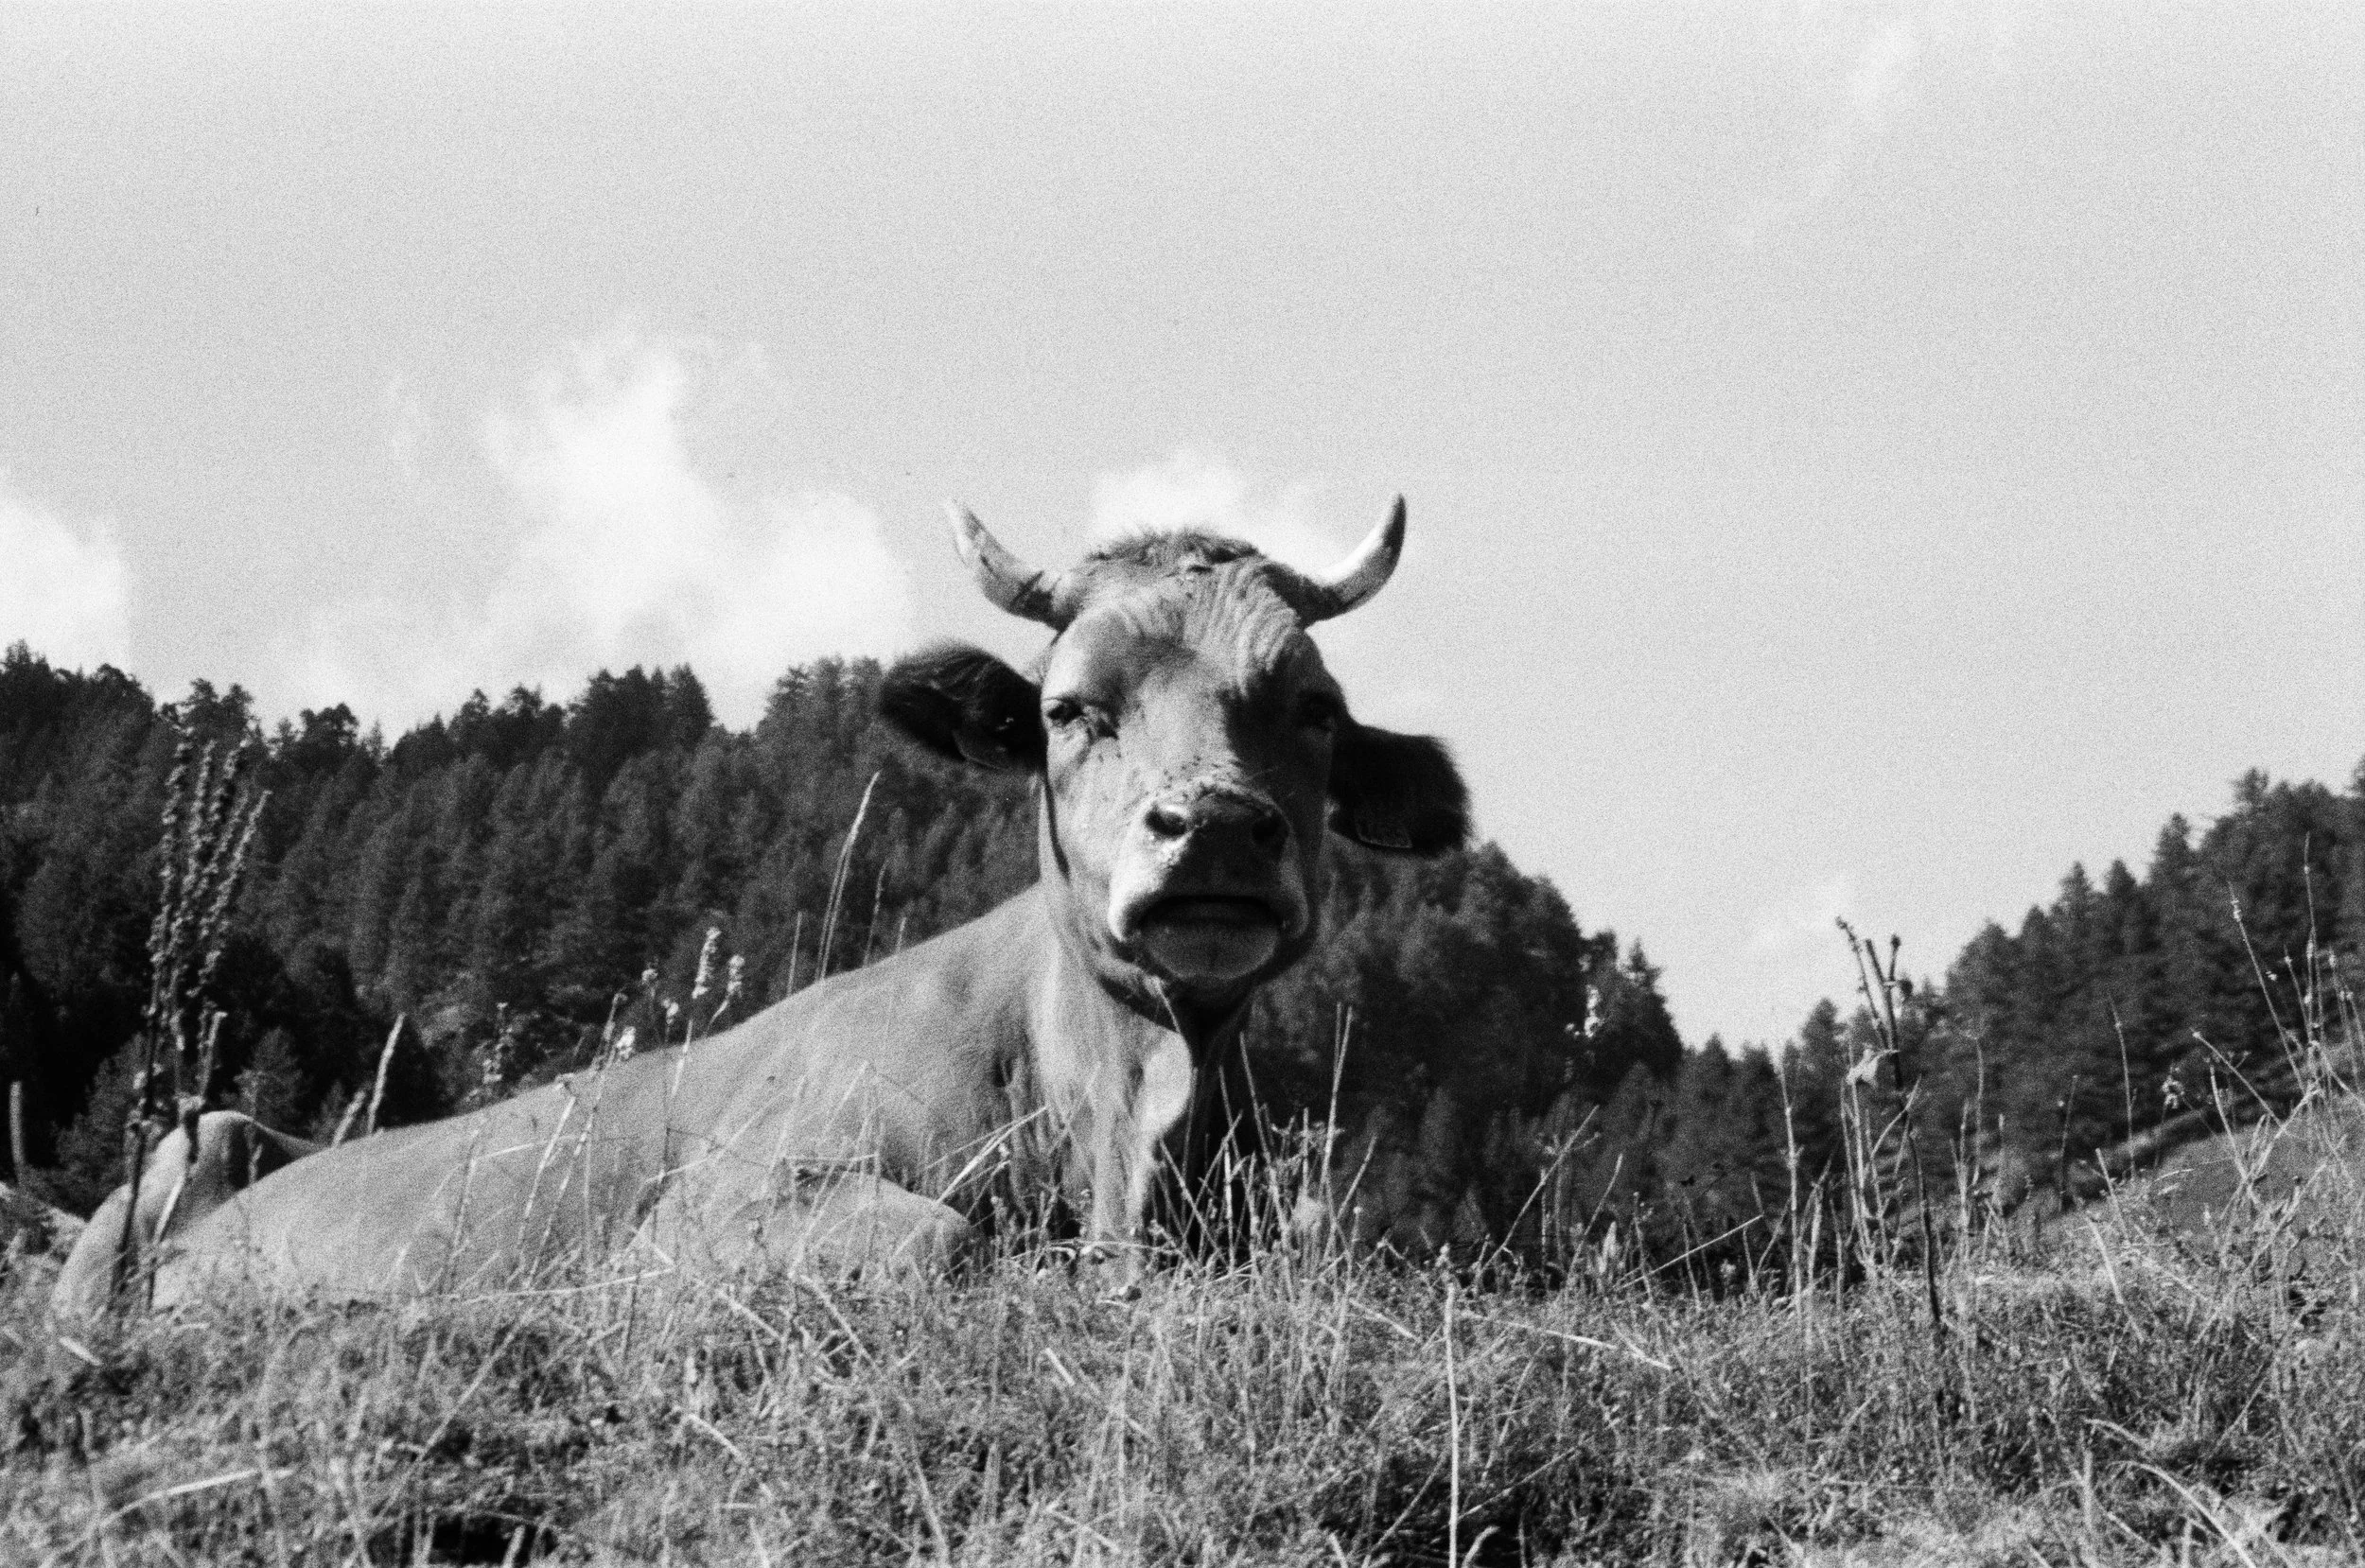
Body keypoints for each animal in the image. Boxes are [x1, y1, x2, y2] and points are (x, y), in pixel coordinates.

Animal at [52, 501, 1467, 1316]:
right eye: (1072, 707)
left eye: (1314, 709)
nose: (1215, 823)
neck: (1124, 1119)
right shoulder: (708, 1212)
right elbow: (946, 1240)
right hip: (177, 1160)